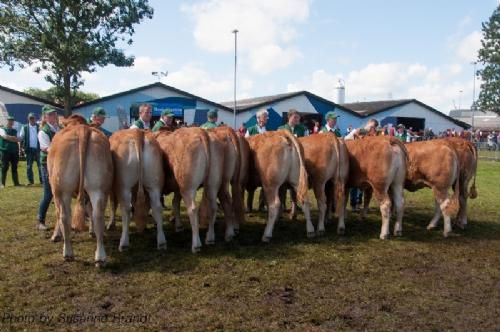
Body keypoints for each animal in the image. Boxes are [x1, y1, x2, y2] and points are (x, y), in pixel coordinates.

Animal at [47, 123, 112, 266]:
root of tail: (82, 128)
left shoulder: (55, 191)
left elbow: (57, 214)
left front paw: (55, 235)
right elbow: (89, 210)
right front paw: (91, 231)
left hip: (61, 189)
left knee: (64, 216)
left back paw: (68, 253)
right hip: (98, 187)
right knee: (97, 215)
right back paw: (100, 257)